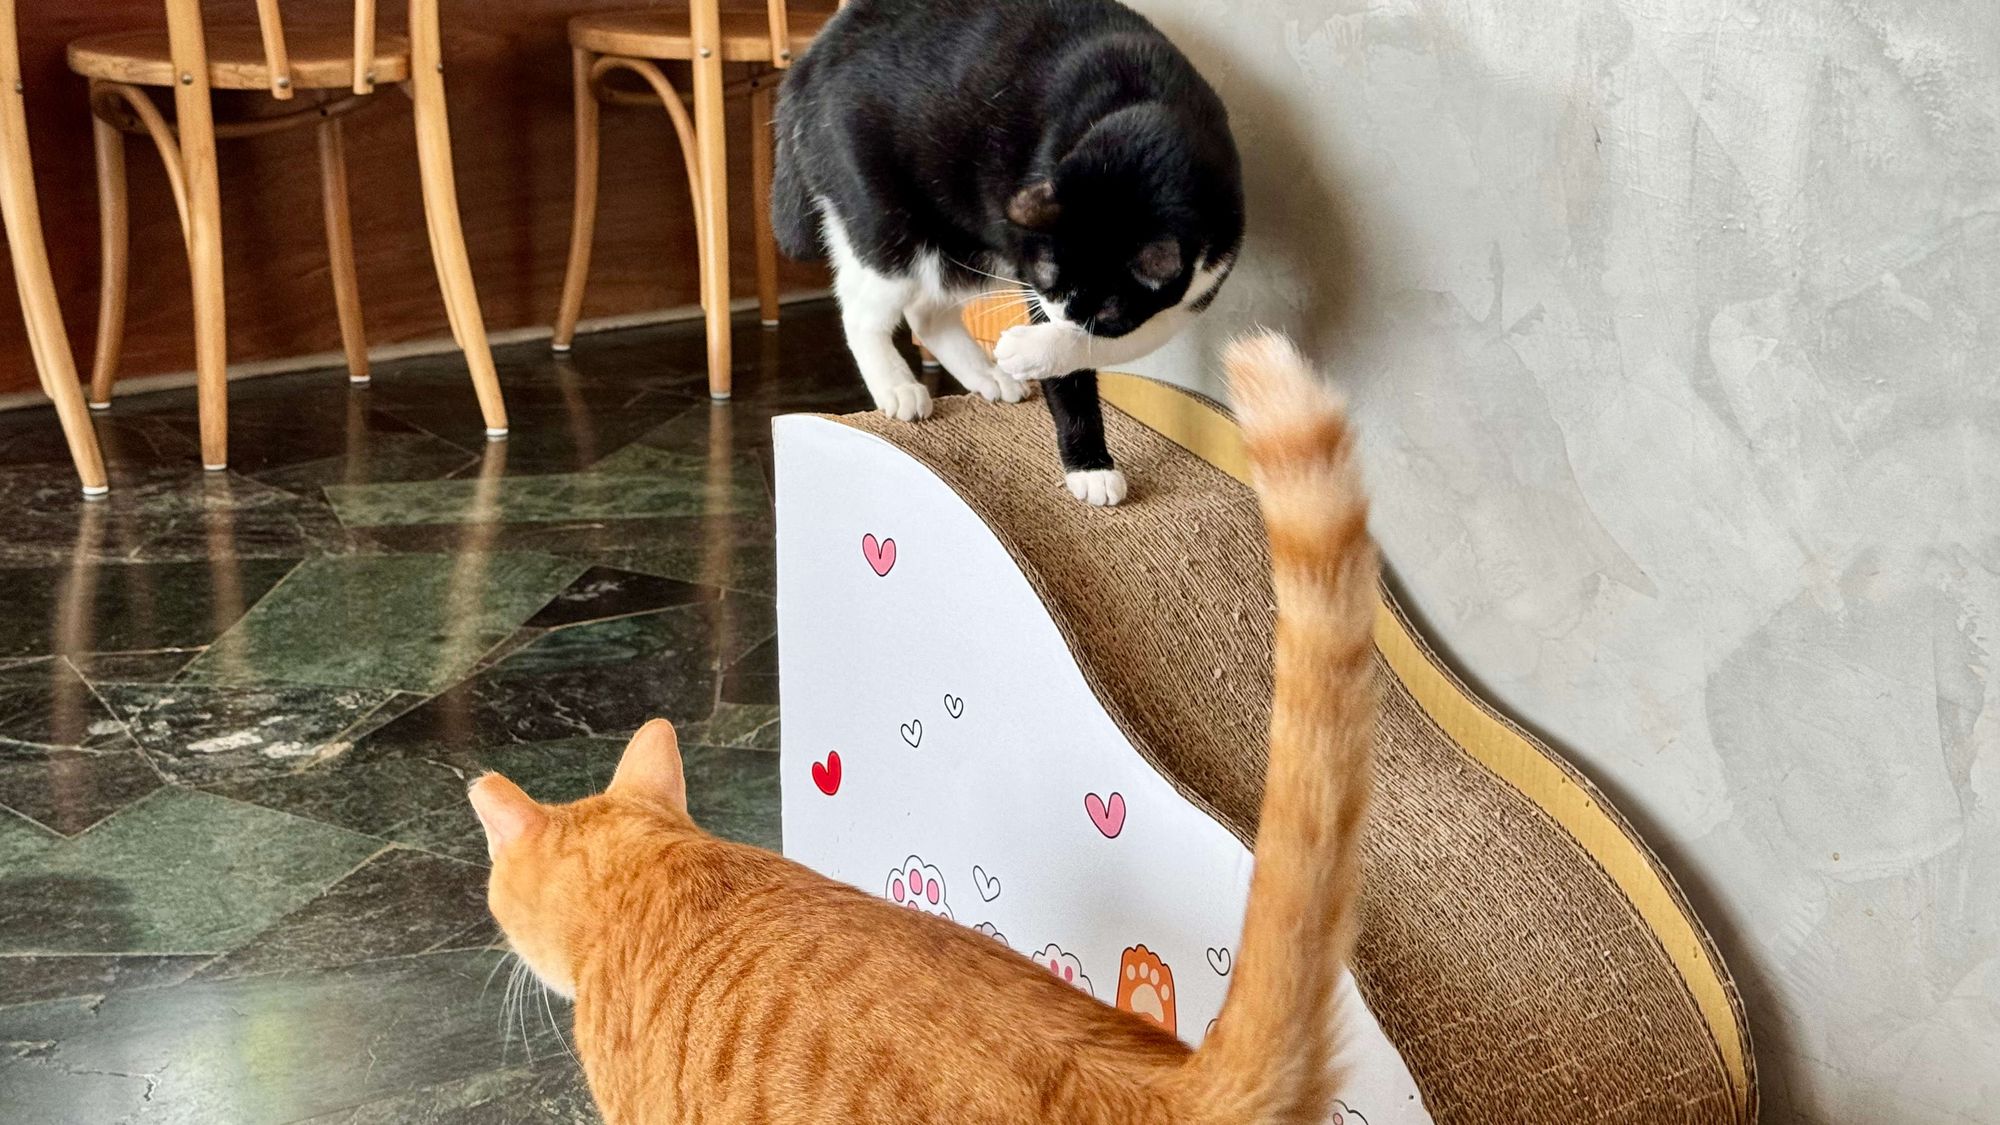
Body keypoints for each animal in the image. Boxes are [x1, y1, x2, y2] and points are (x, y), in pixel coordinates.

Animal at [776, 0, 1232, 504]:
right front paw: (1090, 467)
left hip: (965, 241)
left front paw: (1033, 350)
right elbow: (1076, 370)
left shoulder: (1204, 280)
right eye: (1046, 273)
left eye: (1111, 305)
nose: (1061, 317)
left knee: (927, 312)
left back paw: (989, 375)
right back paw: (897, 386)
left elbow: (1133, 333)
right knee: (864, 309)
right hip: (884, 216)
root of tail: (816, 53)